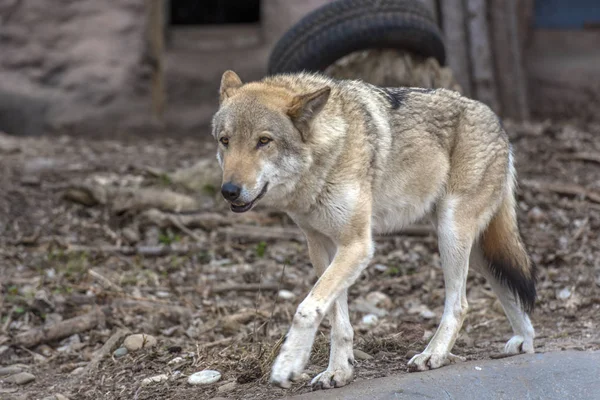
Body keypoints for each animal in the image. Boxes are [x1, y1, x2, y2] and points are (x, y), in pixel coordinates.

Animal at [210, 70, 536, 390]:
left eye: (264, 141)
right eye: (225, 141)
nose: (229, 191)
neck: (325, 156)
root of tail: (497, 121)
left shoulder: (357, 244)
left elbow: (306, 309)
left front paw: (288, 363)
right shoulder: (322, 246)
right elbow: (336, 318)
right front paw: (338, 371)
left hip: (451, 234)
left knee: (460, 305)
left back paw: (433, 354)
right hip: (477, 251)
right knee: (508, 286)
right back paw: (525, 341)